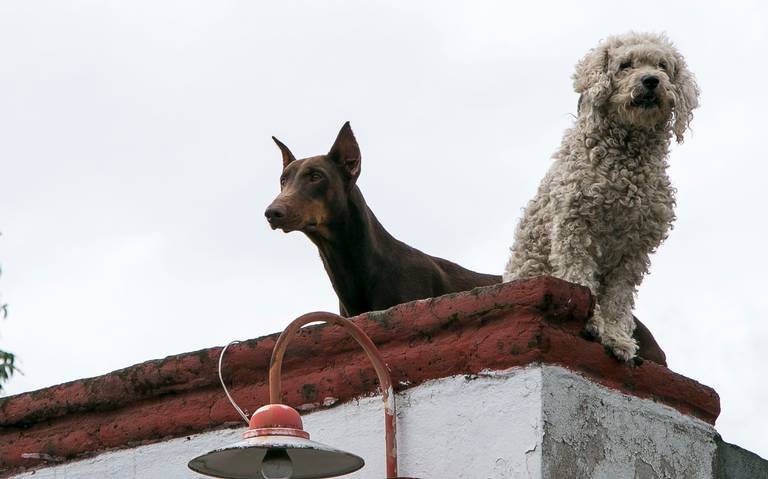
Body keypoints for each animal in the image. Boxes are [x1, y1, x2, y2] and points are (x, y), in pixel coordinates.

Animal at [500, 32, 700, 360]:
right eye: (625, 64)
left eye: (663, 66)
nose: (651, 80)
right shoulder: (574, 227)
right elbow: (580, 278)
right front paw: (592, 323)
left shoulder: (634, 248)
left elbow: (618, 298)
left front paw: (617, 338)